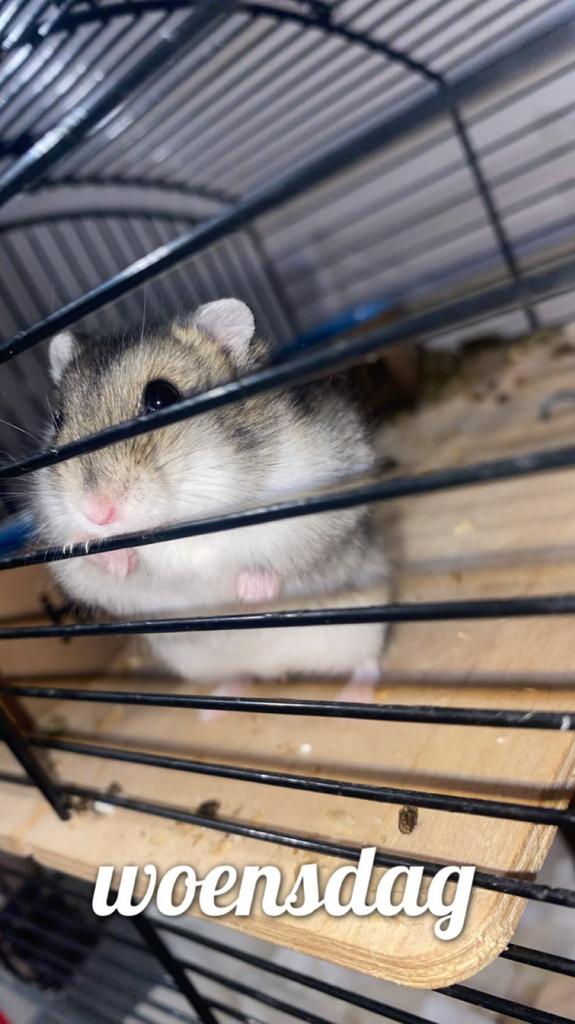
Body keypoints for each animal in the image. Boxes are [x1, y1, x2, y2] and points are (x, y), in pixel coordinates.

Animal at [35, 299, 390, 694]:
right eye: (59, 418)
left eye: (162, 397)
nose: (96, 513)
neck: (181, 521)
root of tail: (277, 672)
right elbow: (103, 568)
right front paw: (89, 544)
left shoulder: (322, 500)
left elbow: (278, 554)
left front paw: (251, 590)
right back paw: (221, 698)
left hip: (365, 626)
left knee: (367, 662)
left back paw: (359, 692)